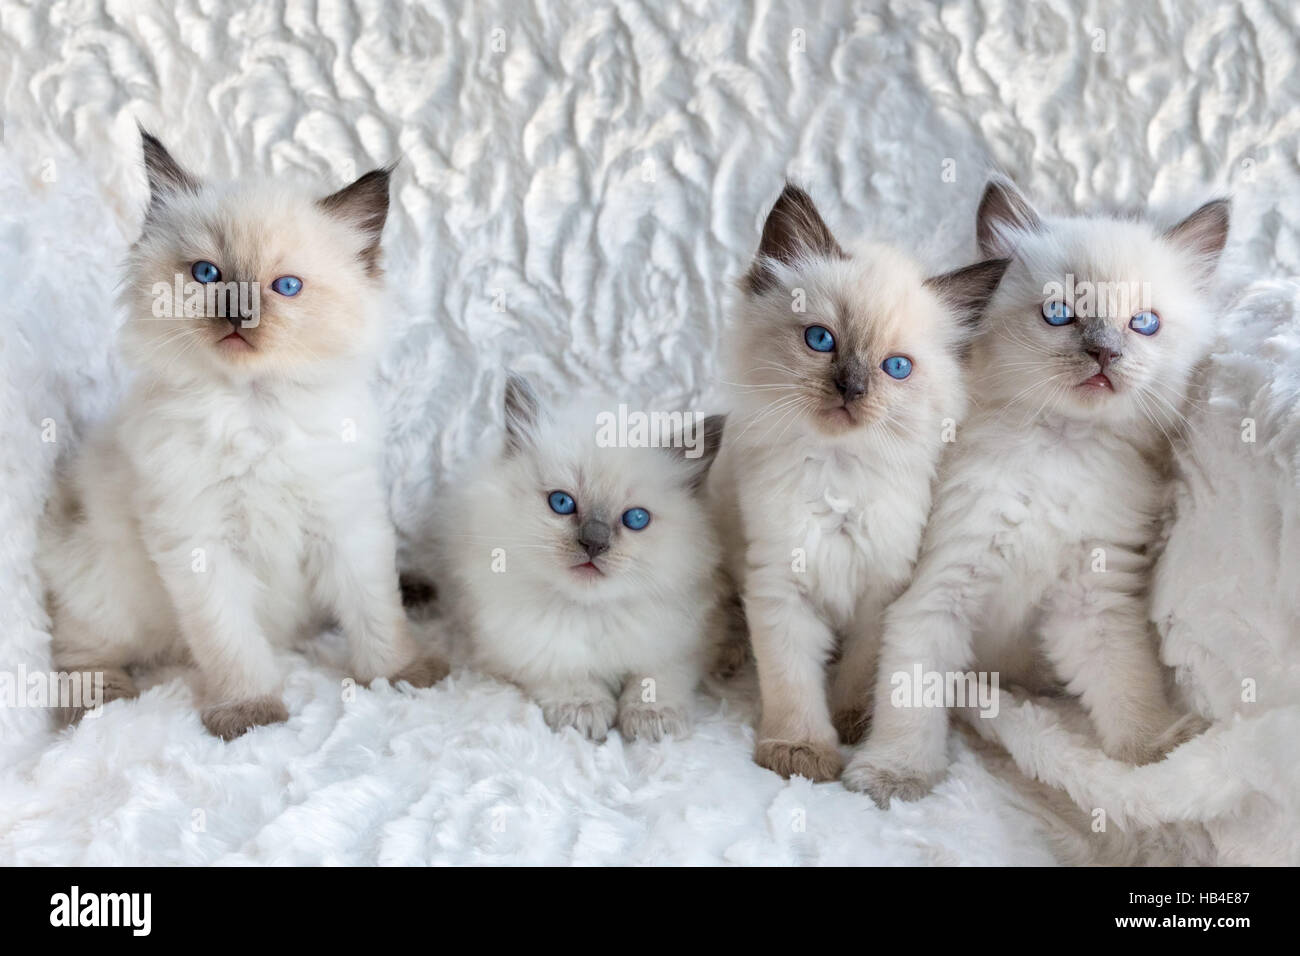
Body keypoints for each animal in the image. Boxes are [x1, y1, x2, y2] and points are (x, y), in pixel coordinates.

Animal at [39, 128, 447, 738]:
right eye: (207, 275)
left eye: (286, 286)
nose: (239, 313)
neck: (256, 412)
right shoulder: (200, 544)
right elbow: (232, 644)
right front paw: (249, 713)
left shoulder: (347, 525)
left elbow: (377, 614)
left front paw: (403, 675)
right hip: (102, 582)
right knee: (79, 649)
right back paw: (98, 704)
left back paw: (419, 588)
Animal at [441, 377, 728, 743]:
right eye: (562, 502)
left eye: (636, 519)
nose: (594, 542)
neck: (590, 613)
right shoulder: (517, 645)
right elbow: (565, 672)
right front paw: (584, 709)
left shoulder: (681, 641)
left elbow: (655, 679)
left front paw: (652, 720)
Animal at [712, 183, 1003, 780]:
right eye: (821, 340)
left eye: (896, 368)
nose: (851, 388)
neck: (839, 472)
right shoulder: (779, 586)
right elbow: (792, 684)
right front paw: (800, 752)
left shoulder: (883, 592)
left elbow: (858, 669)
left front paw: (855, 726)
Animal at [842, 175, 1227, 806]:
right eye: (1059, 313)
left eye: (1143, 324)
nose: (1104, 353)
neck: (1058, 450)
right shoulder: (939, 591)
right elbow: (911, 698)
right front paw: (895, 774)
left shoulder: (1091, 600)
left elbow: (1127, 685)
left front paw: (1156, 751)